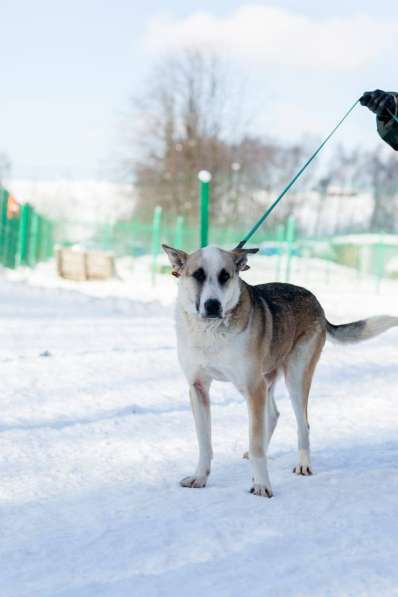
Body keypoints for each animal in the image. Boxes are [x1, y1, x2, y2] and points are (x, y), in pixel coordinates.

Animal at [162, 243, 398, 498]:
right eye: (198, 275)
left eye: (225, 276)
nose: (212, 305)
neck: (211, 331)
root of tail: (317, 303)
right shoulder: (199, 388)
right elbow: (205, 442)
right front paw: (200, 477)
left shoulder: (253, 387)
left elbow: (256, 444)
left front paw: (261, 484)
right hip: (263, 381)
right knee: (273, 415)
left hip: (294, 378)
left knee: (302, 424)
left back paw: (303, 464)